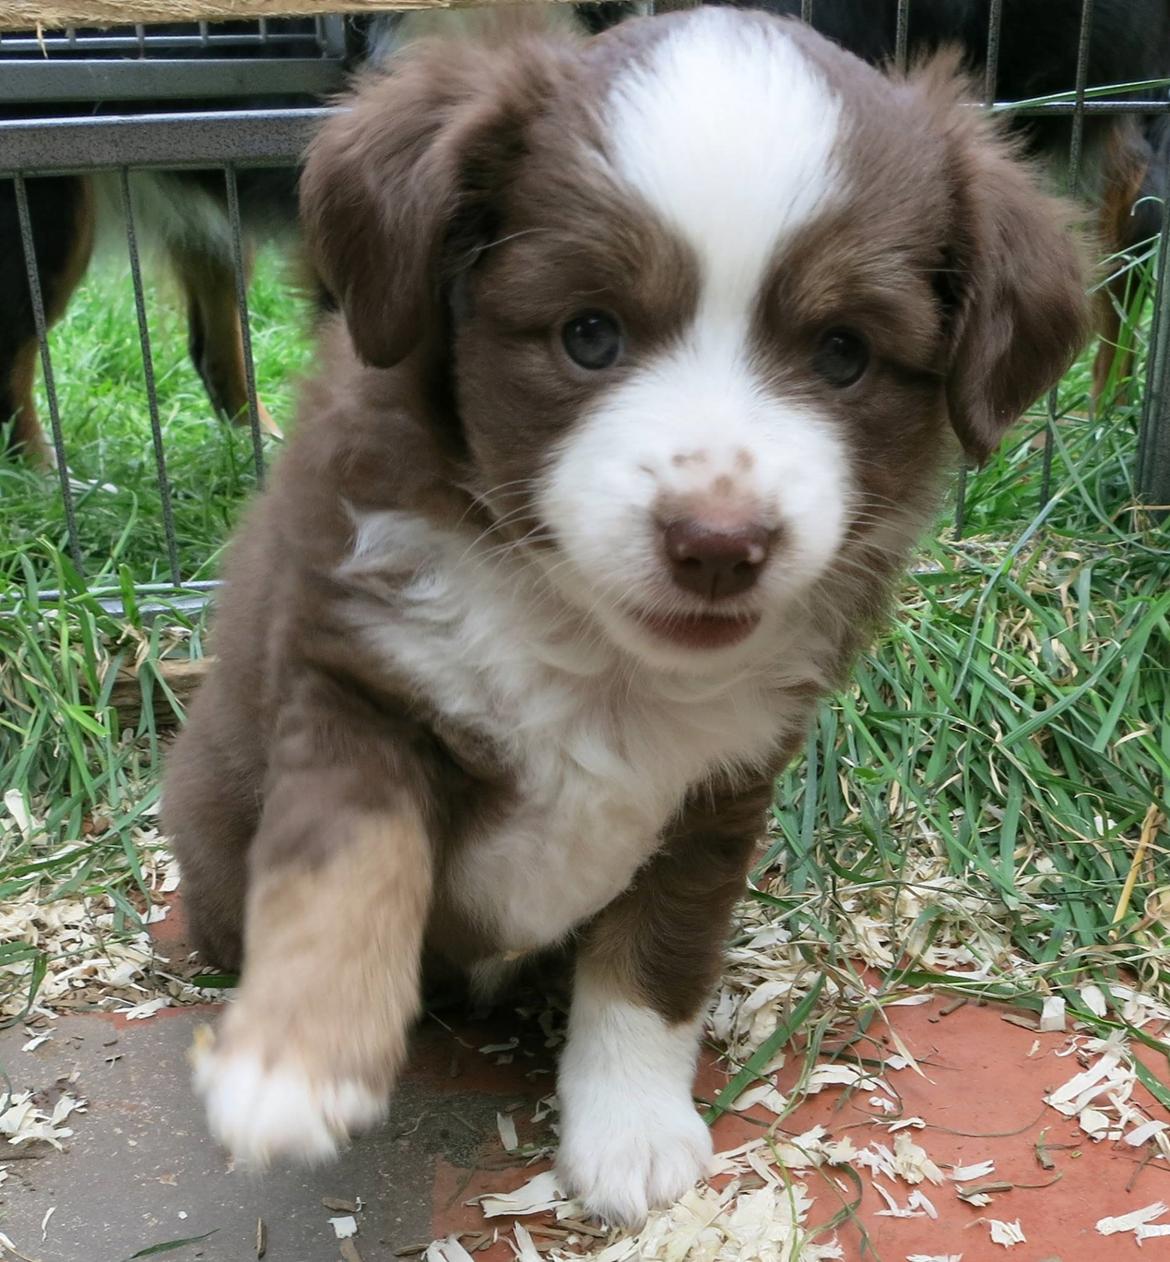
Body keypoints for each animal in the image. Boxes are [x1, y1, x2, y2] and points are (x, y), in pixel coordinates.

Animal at [164, 7, 1090, 1231]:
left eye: (845, 352)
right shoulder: (356, 683)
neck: (597, 652)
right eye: (590, 334)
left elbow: (655, 963)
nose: (719, 541)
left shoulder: (721, 789)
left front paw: (632, 1133)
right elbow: (345, 874)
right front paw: (292, 1066)